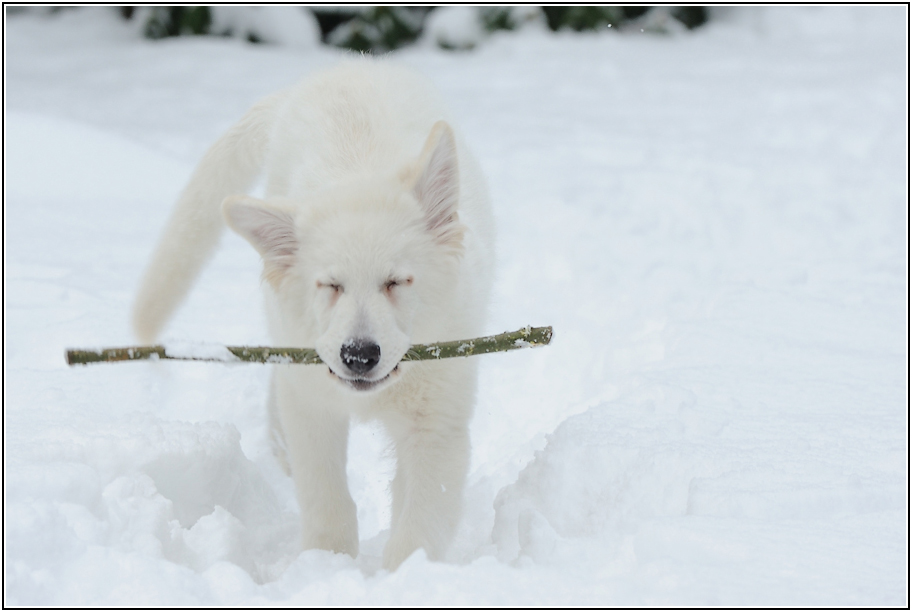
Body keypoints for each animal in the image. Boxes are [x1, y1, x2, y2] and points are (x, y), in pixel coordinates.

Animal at [130, 58, 492, 568]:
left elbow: (420, 521)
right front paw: (326, 563)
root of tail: (339, 69)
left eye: (395, 282)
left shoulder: (437, 421)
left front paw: (404, 573)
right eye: (331, 286)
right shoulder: (312, 408)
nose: (358, 356)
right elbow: (326, 495)